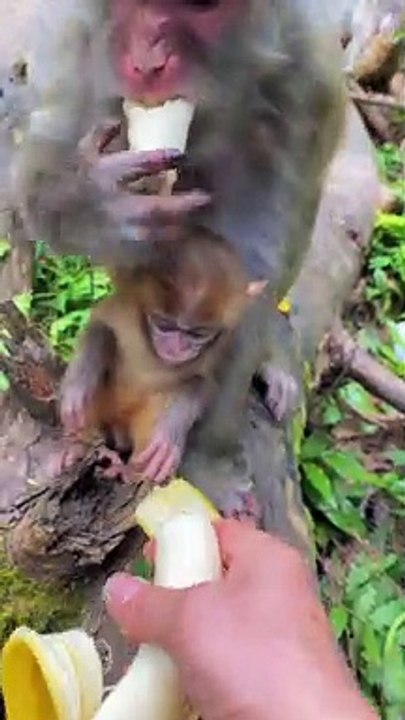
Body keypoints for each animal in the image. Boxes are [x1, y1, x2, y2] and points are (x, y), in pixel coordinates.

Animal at [59, 225, 267, 484]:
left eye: (197, 333)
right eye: (164, 325)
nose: (177, 347)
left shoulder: (224, 341)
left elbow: (202, 383)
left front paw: (171, 430)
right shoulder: (127, 306)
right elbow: (101, 326)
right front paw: (79, 387)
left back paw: (130, 470)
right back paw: (78, 447)